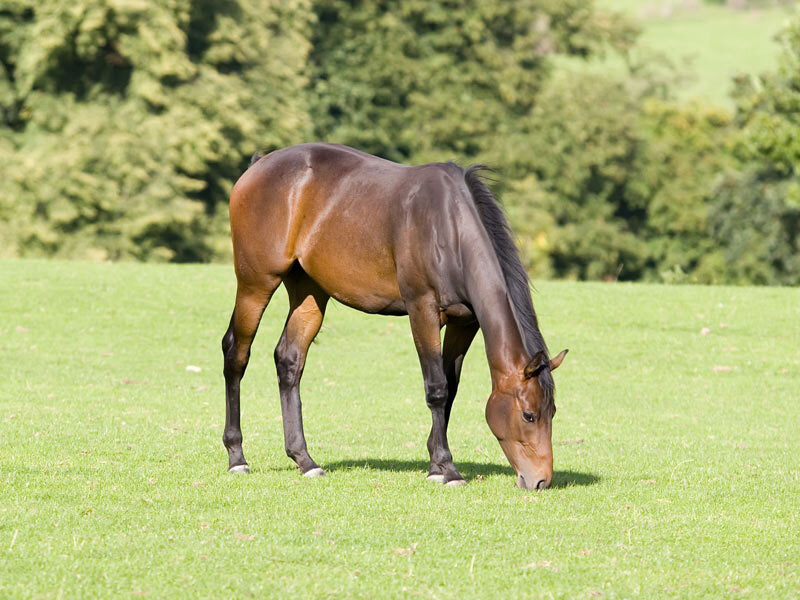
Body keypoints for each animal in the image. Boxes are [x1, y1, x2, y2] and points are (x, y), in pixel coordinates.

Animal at [221, 143, 567, 489]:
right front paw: (447, 468)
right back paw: (237, 457)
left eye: (552, 412)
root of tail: (259, 165)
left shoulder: (463, 323)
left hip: (310, 293)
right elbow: (437, 388)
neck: (448, 228)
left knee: (289, 360)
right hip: (256, 283)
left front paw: (435, 463)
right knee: (236, 353)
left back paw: (305, 460)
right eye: (528, 415)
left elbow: (451, 388)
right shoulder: (422, 310)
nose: (541, 481)